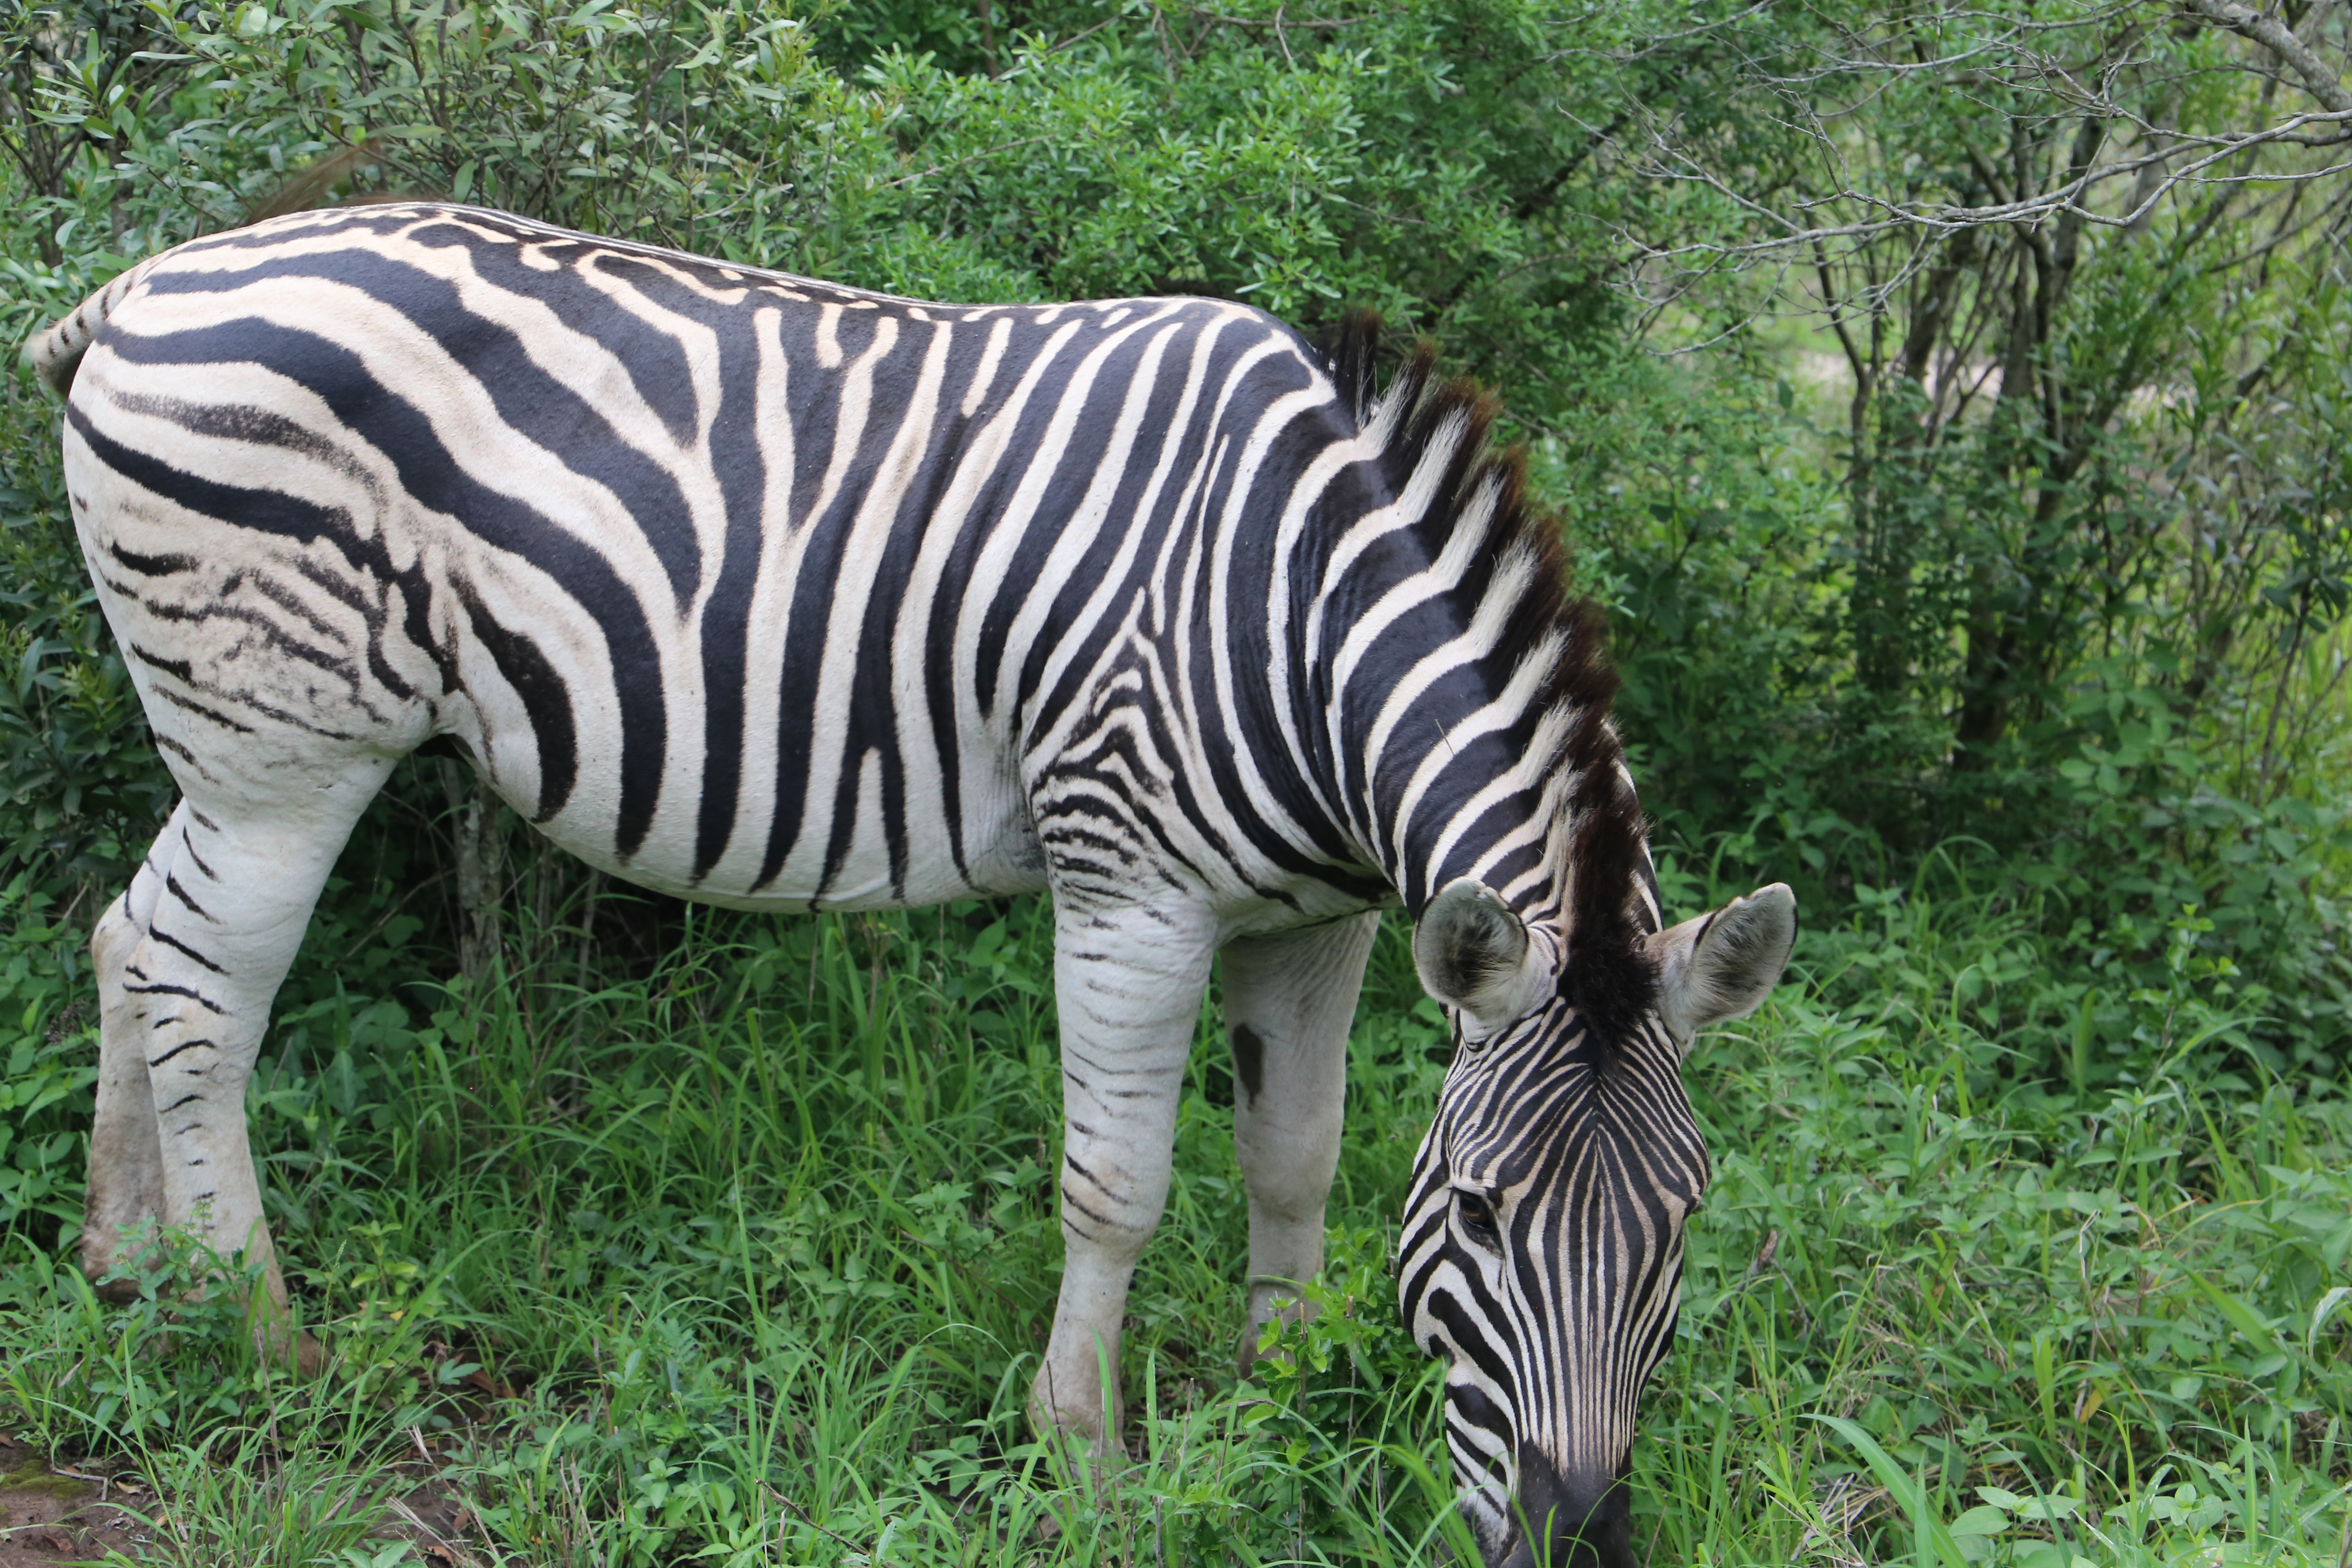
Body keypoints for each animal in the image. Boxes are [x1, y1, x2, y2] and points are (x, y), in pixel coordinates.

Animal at [30, 202, 1795, 1567]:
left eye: (1686, 1218)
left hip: (229, 748)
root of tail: (149, 283)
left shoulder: (1324, 916)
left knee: (134, 932)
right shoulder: (1129, 880)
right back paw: (259, 1327)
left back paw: (123, 1259)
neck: (1294, 619)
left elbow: (1295, 1154)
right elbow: (1119, 1182)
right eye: (1487, 1214)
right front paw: (1083, 1453)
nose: (1579, 1541)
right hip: (287, 739)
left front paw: (1280, 1382)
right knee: (208, 998)